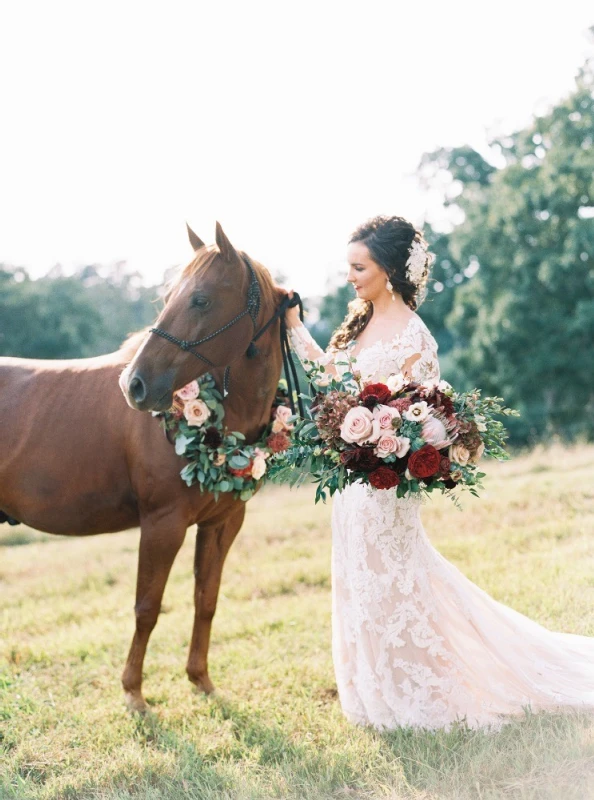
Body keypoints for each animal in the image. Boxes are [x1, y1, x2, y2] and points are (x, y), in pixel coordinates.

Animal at [0, 223, 286, 712]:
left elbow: (206, 599)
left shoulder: (223, 523)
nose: (133, 385)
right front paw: (134, 692)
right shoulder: (162, 524)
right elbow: (147, 607)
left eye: (200, 300)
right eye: (168, 296)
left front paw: (200, 680)